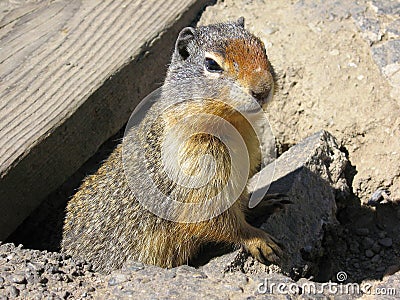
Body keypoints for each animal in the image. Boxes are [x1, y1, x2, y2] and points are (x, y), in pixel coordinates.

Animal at [61, 18, 282, 272]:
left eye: (263, 48)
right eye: (211, 64)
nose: (263, 89)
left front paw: (265, 202)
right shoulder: (200, 180)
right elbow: (221, 221)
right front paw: (260, 240)